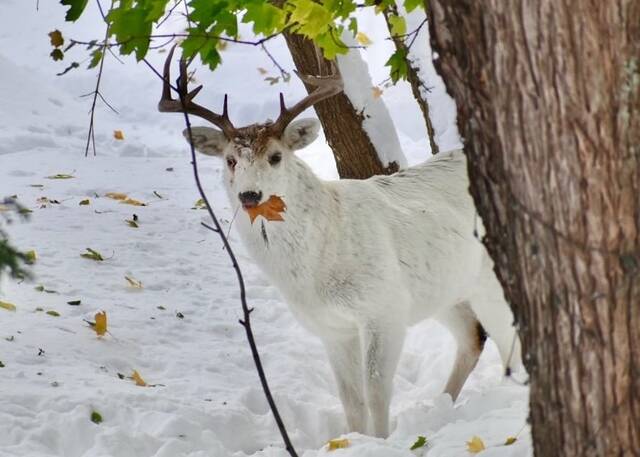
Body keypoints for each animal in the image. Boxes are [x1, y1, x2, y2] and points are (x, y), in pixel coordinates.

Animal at [159, 47, 520, 438]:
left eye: (276, 156)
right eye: (230, 160)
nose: (250, 195)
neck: (317, 265)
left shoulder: (384, 306)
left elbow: (376, 390)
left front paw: (381, 440)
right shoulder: (331, 327)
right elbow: (351, 398)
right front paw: (354, 438)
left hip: (488, 284)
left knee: (509, 347)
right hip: (445, 289)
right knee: (472, 337)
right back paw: (443, 405)